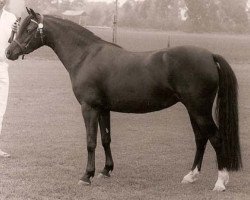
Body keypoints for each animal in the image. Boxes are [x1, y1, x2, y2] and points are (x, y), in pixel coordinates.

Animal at [5, 9, 240, 191]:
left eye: (29, 29)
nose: (9, 52)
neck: (86, 55)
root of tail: (210, 55)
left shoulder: (89, 108)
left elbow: (90, 141)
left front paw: (86, 176)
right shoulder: (103, 108)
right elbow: (105, 139)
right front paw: (106, 170)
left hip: (199, 110)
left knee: (216, 138)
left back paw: (220, 182)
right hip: (193, 110)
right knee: (201, 139)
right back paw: (191, 176)